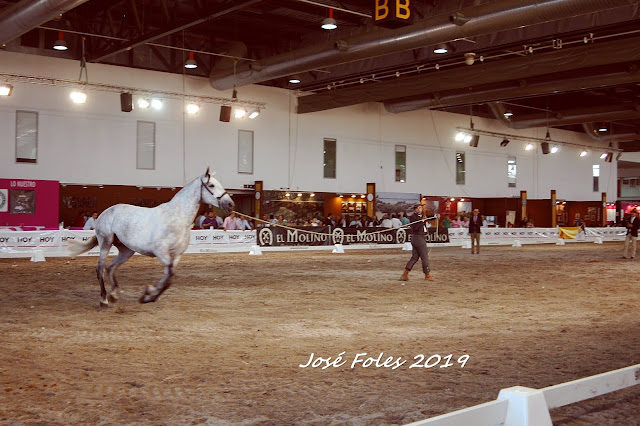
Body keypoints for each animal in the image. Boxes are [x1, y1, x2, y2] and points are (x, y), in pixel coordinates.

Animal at [68, 168, 234, 307]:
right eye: (211, 185)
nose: (230, 204)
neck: (177, 217)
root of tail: (105, 213)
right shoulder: (161, 252)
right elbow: (169, 276)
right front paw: (148, 293)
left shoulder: (176, 255)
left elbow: (168, 278)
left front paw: (147, 296)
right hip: (105, 242)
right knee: (100, 268)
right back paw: (104, 300)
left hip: (126, 250)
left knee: (110, 267)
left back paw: (114, 295)